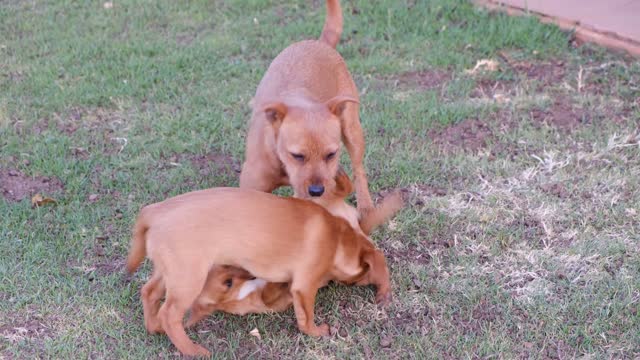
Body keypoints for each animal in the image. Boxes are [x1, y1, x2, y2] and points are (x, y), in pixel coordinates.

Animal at [126, 188, 390, 358]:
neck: (337, 237)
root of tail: (154, 211)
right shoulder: (304, 286)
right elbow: (306, 318)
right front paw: (318, 332)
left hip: (171, 272)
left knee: (149, 292)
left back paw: (154, 327)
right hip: (189, 279)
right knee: (169, 313)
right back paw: (192, 350)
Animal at [239, 0, 376, 214]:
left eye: (331, 155)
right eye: (297, 155)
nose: (317, 191)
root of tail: (320, 43)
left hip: (352, 130)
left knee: (358, 169)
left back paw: (366, 205)